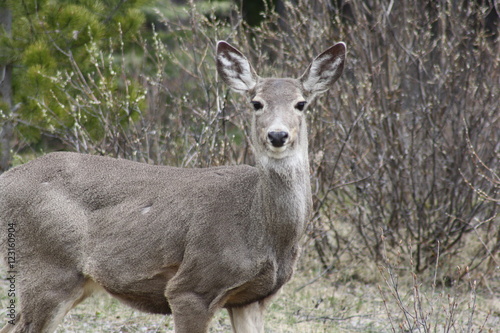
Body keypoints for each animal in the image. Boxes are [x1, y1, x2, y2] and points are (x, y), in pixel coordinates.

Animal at [0, 40, 346, 330]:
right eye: (256, 103)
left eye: (301, 103)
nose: (277, 135)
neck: (262, 226)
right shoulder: (191, 286)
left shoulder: (253, 298)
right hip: (46, 269)